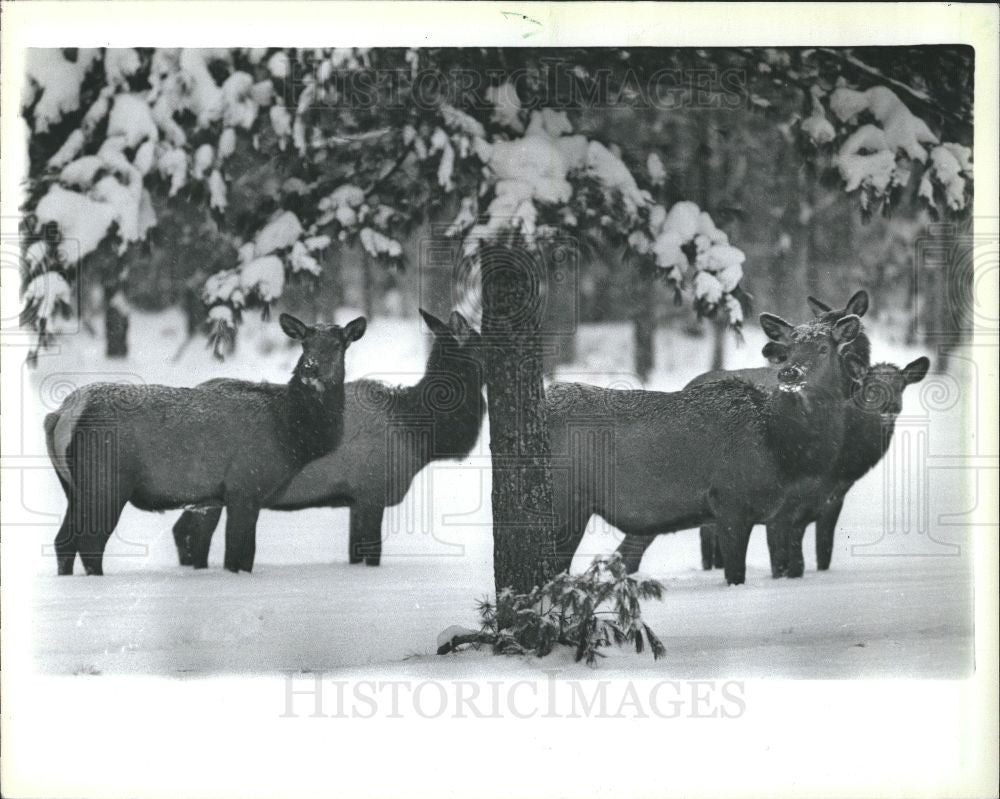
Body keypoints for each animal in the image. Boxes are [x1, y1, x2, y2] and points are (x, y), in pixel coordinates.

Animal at [45, 312, 368, 576]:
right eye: (304, 344)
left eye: (337, 345)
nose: (310, 369)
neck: (291, 434)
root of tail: (62, 414)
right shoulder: (244, 485)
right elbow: (238, 556)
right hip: (106, 482)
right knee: (90, 544)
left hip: (73, 487)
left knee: (63, 541)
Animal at [172, 310, 484, 568]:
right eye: (483, 341)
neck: (418, 438)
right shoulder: (371, 491)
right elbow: (372, 555)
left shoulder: (355, 499)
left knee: (183, 531)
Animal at [548, 314, 868, 588]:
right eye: (787, 350)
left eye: (823, 348)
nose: (790, 373)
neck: (781, 445)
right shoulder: (731, 501)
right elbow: (736, 574)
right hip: (567, 501)